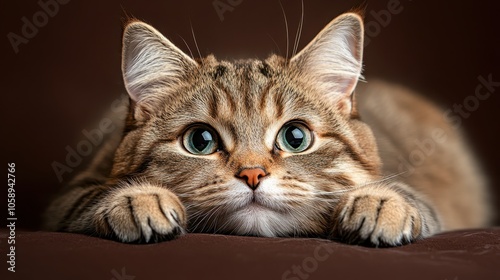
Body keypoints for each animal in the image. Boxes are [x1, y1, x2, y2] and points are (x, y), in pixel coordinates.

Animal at [44, 12, 492, 246]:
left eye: (295, 137)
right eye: (200, 140)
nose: (253, 174)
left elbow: (409, 199)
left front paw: (381, 203)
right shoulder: (67, 197)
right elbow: (94, 198)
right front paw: (138, 200)